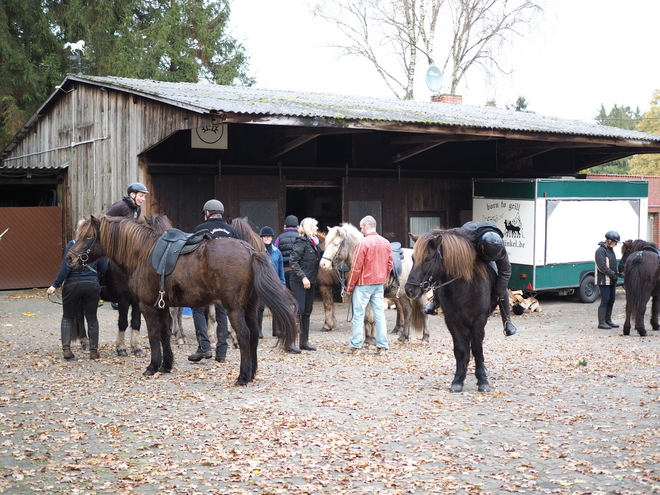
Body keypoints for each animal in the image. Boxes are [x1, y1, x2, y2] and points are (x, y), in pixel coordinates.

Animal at [65, 213, 298, 384]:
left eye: (88, 237)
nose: (69, 258)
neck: (143, 253)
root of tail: (249, 250)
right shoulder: (162, 306)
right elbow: (165, 334)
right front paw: (166, 365)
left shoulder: (147, 306)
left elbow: (153, 336)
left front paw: (152, 367)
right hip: (249, 307)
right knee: (254, 334)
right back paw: (251, 373)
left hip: (234, 309)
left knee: (244, 335)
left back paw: (242, 377)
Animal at [402, 230, 496, 396]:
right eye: (413, 258)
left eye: (428, 259)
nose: (409, 290)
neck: (464, 286)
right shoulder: (452, 320)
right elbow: (459, 349)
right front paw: (458, 379)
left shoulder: (478, 320)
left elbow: (477, 349)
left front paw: (482, 380)